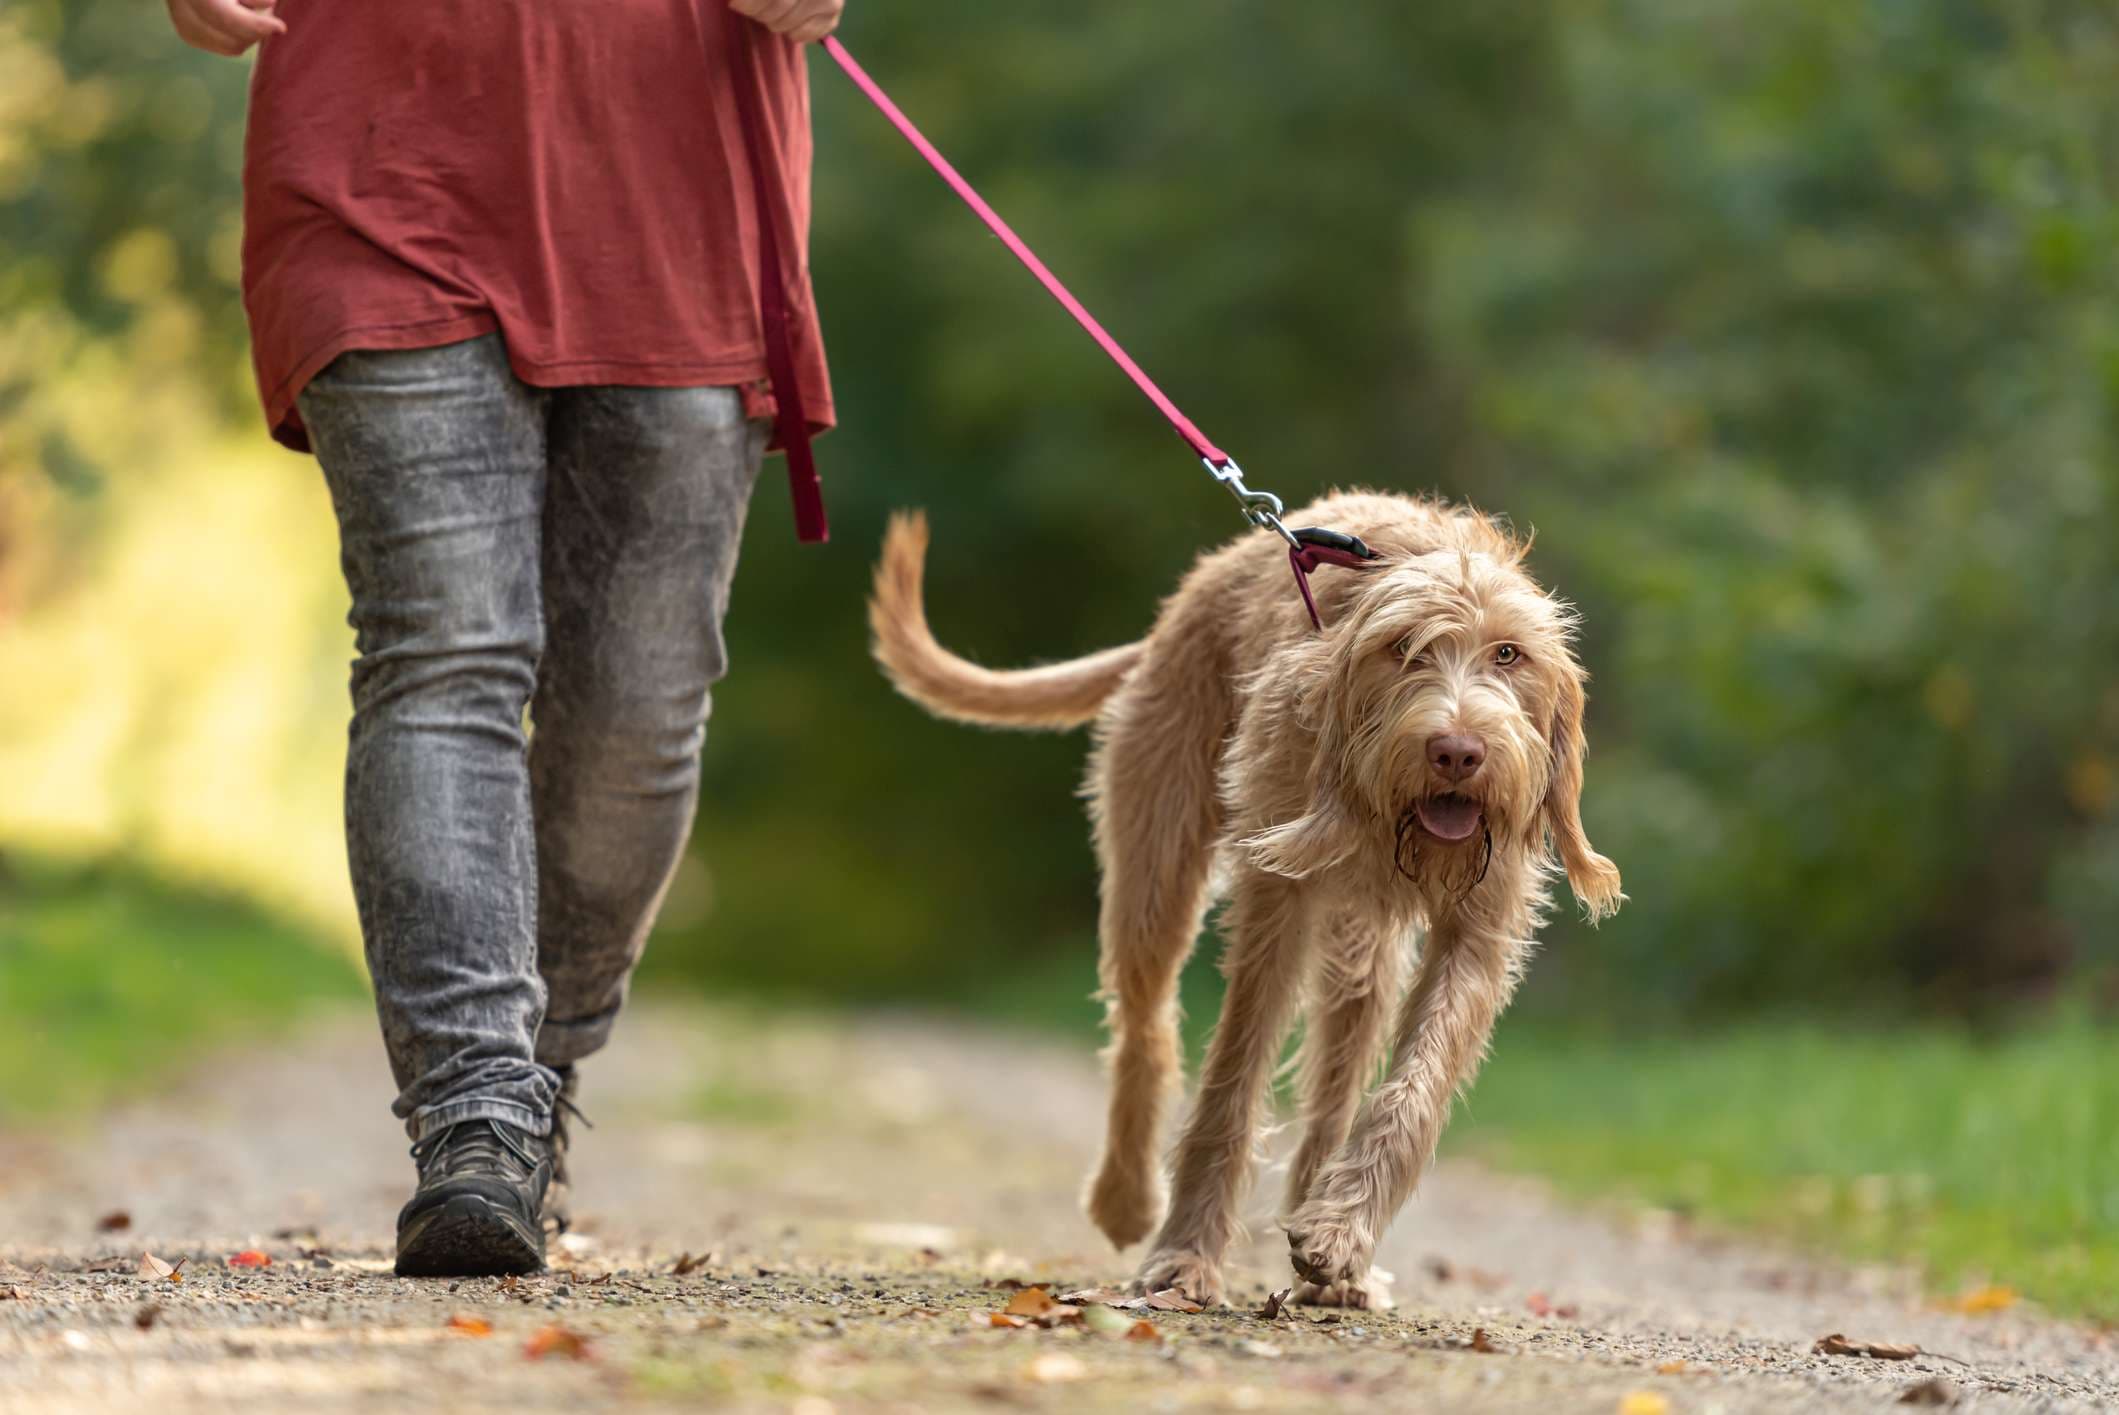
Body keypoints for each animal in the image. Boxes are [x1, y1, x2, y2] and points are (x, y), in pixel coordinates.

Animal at [860, 491, 1618, 1313]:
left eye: (1508, 655)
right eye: (1404, 649)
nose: (1457, 751)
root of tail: (1188, 597)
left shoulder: (1479, 929)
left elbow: (1413, 1089)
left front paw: (1340, 1235)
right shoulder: (1276, 901)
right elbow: (1232, 1076)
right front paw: (1184, 1255)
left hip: (1362, 952)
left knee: (1335, 1082)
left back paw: (1330, 1247)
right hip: (1155, 867)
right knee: (1145, 1028)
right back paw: (1127, 1196)